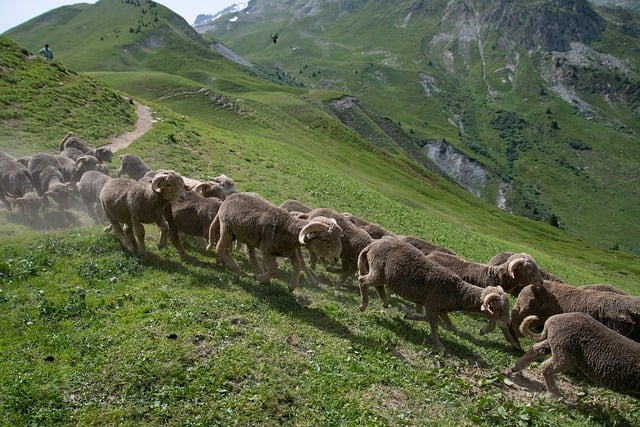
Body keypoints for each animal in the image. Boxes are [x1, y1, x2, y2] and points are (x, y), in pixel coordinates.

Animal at [208, 192, 342, 292]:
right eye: (325, 239)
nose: (336, 258)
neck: (287, 227)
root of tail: (228, 198)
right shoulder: (267, 250)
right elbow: (273, 269)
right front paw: (260, 278)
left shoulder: (289, 251)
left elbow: (298, 265)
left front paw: (292, 286)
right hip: (227, 228)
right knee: (221, 248)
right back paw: (237, 271)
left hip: (248, 236)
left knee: (250, 254)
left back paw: (257, 270)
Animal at [358, 236, 516, 350]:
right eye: (498, 309)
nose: (508, 322)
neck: (457, 291)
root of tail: (371, 246)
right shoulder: (432, 305)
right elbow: (434, 324)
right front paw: (438, 344)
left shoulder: (441, 309)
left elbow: (446, 323)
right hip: (378, 271)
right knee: (362, 281)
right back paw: (363, 305)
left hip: (381, 273)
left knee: (377, 286)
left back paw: (385, 302)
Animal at [510, 312, 640, 400]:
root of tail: (551, 320)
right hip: (565, 354)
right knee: (546, 366)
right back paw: (554, 394)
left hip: (554, 344)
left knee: (535, 350)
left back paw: (515, 367)